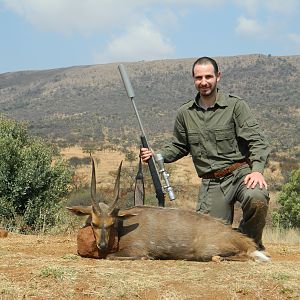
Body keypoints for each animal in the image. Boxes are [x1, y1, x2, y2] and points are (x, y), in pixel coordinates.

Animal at [67, 159, 270, 262]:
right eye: (94, 223)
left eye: (111, 223)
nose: (101, 245)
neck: (122, 228)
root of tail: (241, 239)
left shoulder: (137, 250)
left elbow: (112, 257)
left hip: (209, 251)